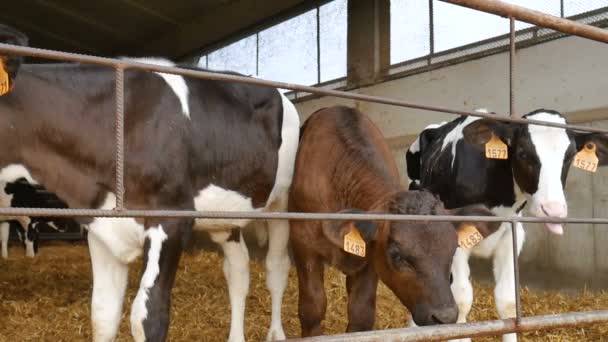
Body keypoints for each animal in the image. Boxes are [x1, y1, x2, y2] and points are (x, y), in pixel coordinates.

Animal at [0, 24, 300, 342]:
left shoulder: (170, 218)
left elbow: (148, 316)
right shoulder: (101, 227)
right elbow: (103, 315)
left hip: (282, 202)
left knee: (276, 266)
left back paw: (277, 333)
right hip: (226, 215)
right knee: (238, 270)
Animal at [290, 107, 504, 336]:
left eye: (453, 248)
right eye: (396, 255)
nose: (444, 317)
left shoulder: (370, 259)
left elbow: (361, 315)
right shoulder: (303, 244)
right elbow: (312, 308)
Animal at [404, 109, 608, 342]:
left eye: (570, 156)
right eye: (522, 153)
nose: (553, 210)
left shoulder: (512, 233)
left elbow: (507, 302)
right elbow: (461, 302)